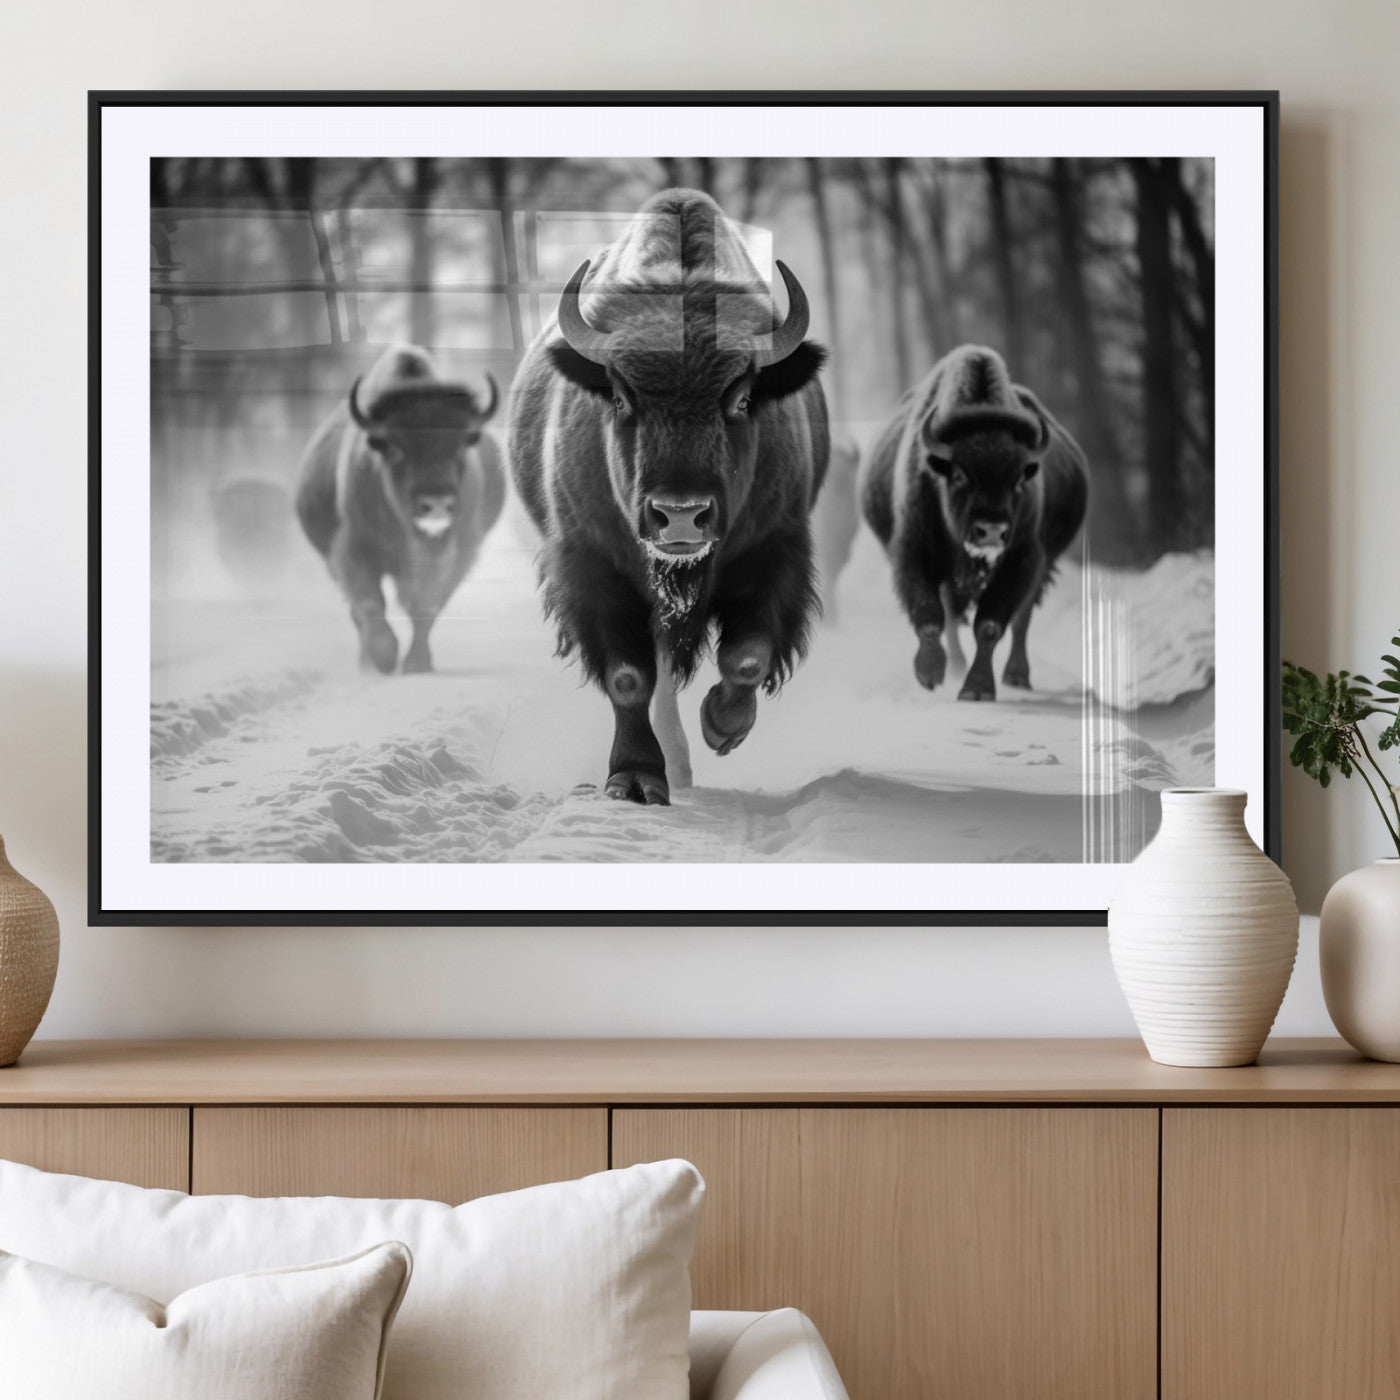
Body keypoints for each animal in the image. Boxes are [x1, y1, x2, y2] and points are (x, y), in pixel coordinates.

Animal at [295, 345, 503, 674]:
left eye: (460, 446)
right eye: (395, 448)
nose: (436, 503)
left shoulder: (456, 551)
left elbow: (427, 605)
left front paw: (417, 663)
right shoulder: (353, 549)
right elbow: (370, 602)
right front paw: (384, 657)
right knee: (358, 610)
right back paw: (367, 661)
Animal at [508, 188, 830, 805]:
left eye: (743, 398)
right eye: (618, 396)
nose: (681, 516)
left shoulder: (778, 549)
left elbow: (748, 656)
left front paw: (722, 727)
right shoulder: (593, 566)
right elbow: (629, 677)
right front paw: (634, 779)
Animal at [860, 345, 1089, 701]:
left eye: (1019, 480)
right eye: (958, 475)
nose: (991, 531)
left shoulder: (1022, 559)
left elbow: (990, 625)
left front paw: (976, 689)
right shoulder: (914, 553)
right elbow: (930, 616)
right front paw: (930, 673)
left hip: (1042, 566)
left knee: (1021, 619)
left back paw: (1016, 675)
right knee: (953, 616)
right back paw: (955, 666)